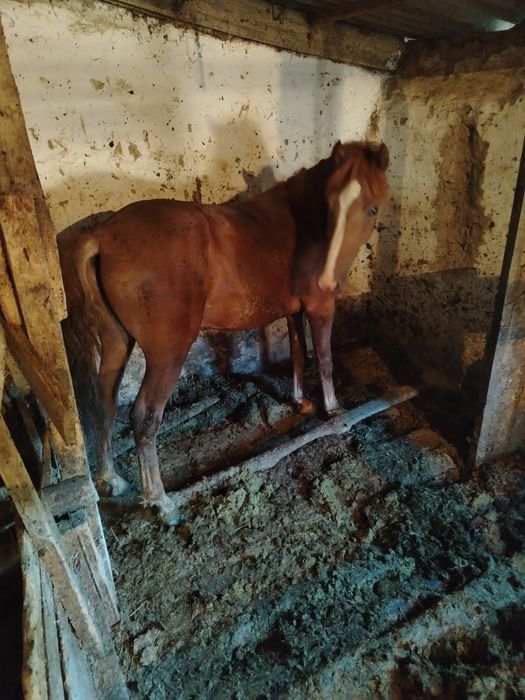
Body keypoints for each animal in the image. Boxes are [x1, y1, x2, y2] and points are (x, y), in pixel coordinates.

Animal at [59, 140, 389, 525]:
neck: (300, 222)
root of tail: (102, 235)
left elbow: (297, 352)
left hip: (117, 342)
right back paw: (160, 501)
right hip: (168, 353)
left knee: (104, 403)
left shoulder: (293, 310)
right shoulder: (320, 305)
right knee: (144, 416)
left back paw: (110, 479)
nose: (327, 280)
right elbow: (323, 357)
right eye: (330, 205)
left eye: (371, 208)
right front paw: (334, 409)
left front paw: (300, 401)